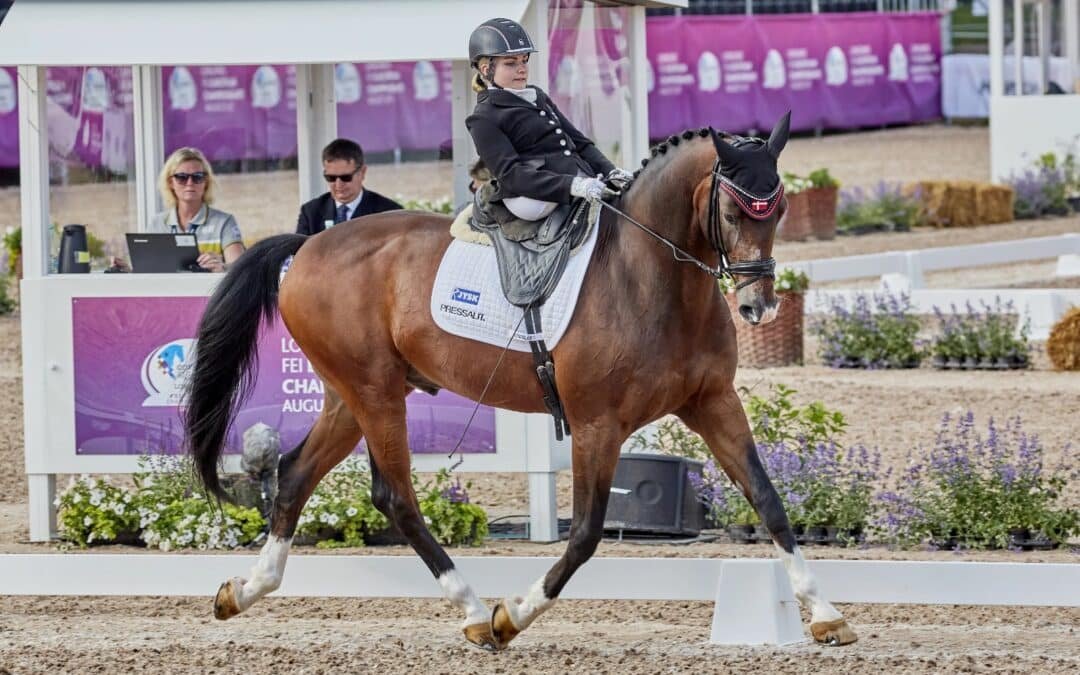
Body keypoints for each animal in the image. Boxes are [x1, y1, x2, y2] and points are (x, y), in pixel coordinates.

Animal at [184, 112, 858, 650]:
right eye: (733, 209)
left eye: (781, 208)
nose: (757, 307)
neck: (652, 277)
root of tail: (308, 245)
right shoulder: (596, 424)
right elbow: (585, 534)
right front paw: (514, 617)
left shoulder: (712, 402)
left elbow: (769, 501)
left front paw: (826, 615)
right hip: (374, 394)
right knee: (394, 497)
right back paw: (476, 613)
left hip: (353, 395)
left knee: (296, 473)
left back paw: (243, 590)